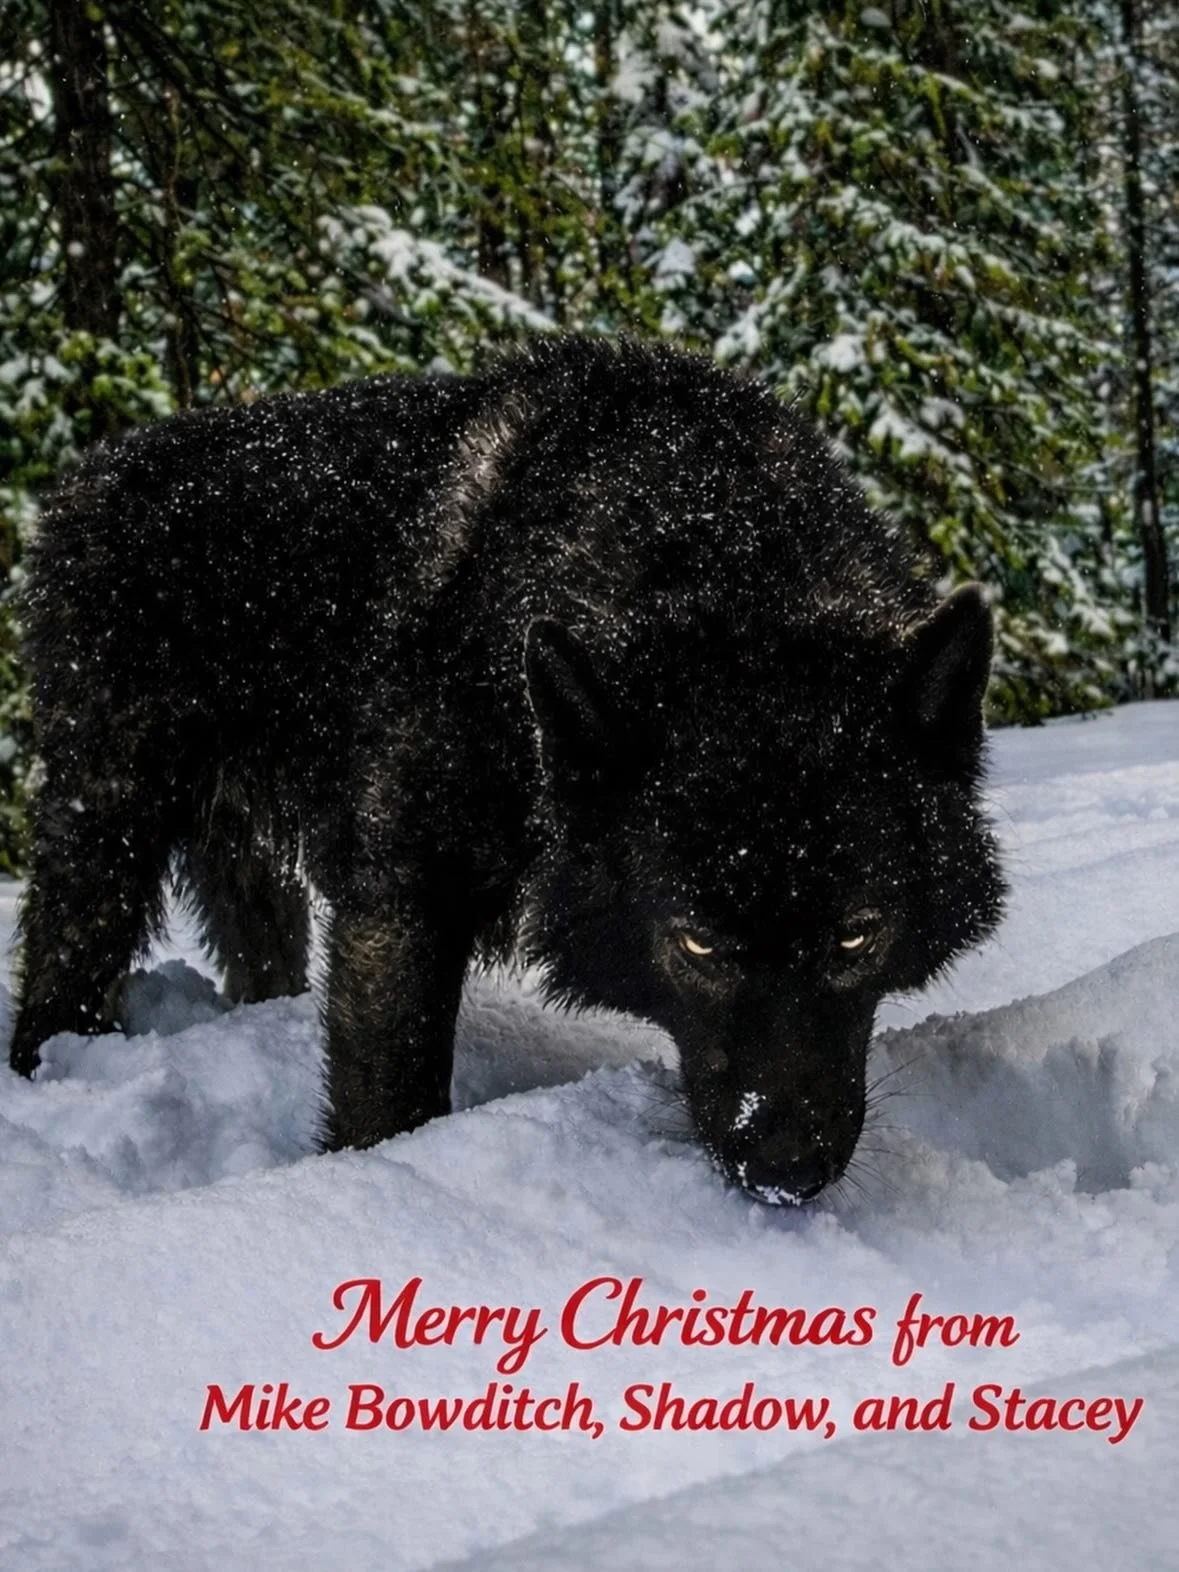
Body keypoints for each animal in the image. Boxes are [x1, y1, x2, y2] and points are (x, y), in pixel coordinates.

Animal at [8, 336, 1004, 1204]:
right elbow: (391, 1101)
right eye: (697, 944)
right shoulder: (401, 904)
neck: (703, 533)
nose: (786, 1169)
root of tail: (87, 478)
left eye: (856, 937)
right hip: (104, 844)